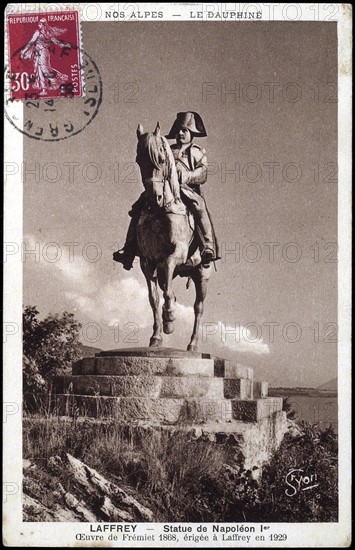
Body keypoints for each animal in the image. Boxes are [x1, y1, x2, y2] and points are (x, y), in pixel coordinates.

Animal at [134, 123, 211, 352]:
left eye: (161, 158)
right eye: (139, 160)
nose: (154, 197)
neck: (160, 211)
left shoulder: (174, 256)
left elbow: (167, 294)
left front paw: (169, 319)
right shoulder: (148, 263)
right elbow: (154, 299)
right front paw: (156, 337)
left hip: (202, 274)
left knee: (198, 307)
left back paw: (193, 344)